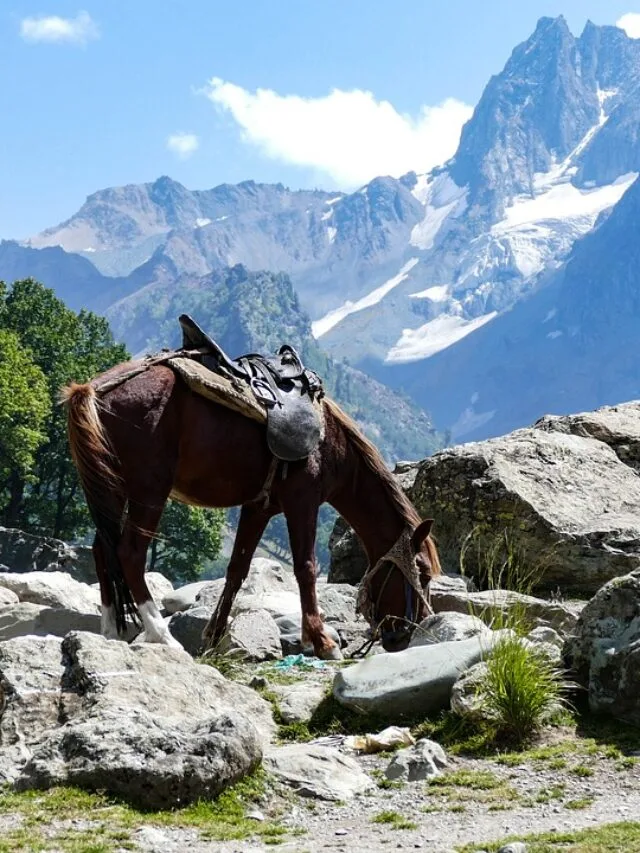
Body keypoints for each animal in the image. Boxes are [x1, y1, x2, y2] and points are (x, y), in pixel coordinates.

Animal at [63, 359, 441, 658]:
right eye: (421, 573)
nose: (408, 634)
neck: (331, 443)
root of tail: (93, 390)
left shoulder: (258, 508)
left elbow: (236, 570)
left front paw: (213, 638)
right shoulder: (302, 500)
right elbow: (305, 567)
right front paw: (321, 642)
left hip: (111, 490)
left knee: (102, 552)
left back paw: (110, 633)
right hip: (148, 491)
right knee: (129, 554)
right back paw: (162, 635)